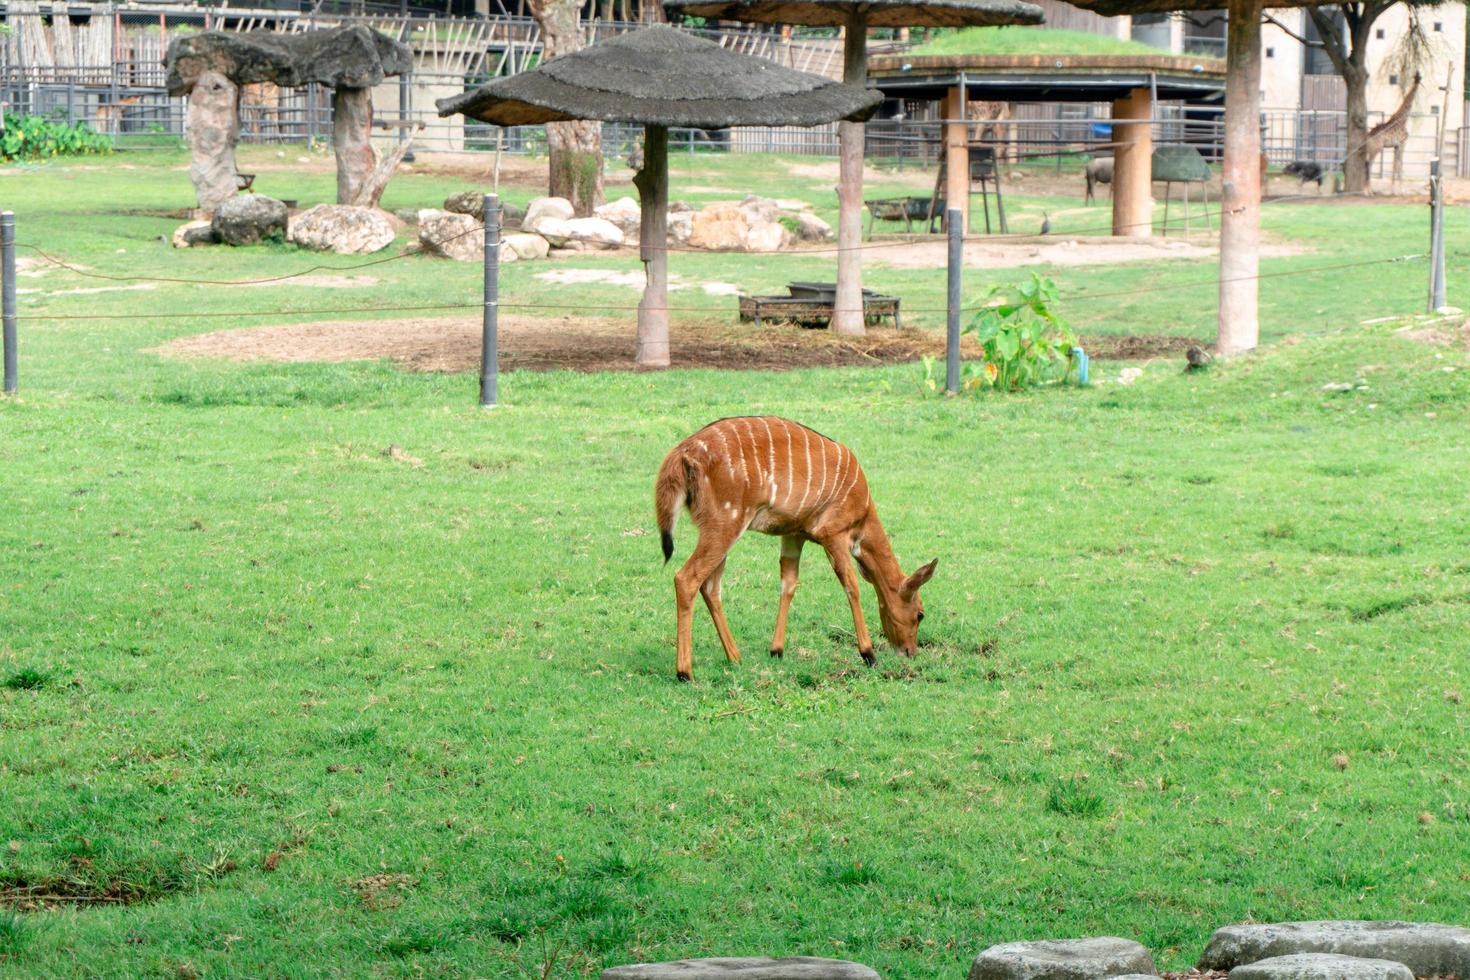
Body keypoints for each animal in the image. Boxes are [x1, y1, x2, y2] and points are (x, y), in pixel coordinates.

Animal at [658, 417, 940, 681]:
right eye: (921, 614)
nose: (910, 652)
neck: (862, 511)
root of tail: (681, 455)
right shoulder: (833, 532)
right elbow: (851, 585)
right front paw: (868, 654)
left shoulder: (793, 534)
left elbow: (788, 584)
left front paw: (777, 650)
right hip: (726, 523)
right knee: (686, 578)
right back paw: (684, 672)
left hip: (719, 529)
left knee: (710, 586)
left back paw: (735, 657)